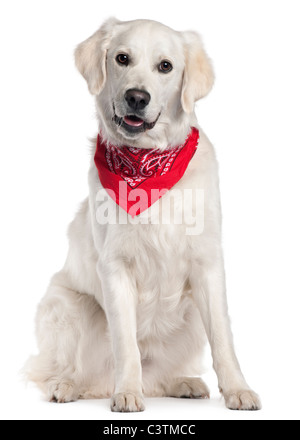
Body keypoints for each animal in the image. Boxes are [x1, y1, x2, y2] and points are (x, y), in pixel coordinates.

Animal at [27, 18, 262, 412]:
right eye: (122, 58)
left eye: (165, 66)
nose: (137, 97)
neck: (145, 164)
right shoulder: (114, 267)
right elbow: (126, 344)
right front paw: (126, 392)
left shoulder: (207, 263)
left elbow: (223, 338)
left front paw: (237, 389)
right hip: (67, 304)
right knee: (75, 371)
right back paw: (69, 386)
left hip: (188, 318)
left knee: (158, 376)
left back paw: (182, 382)